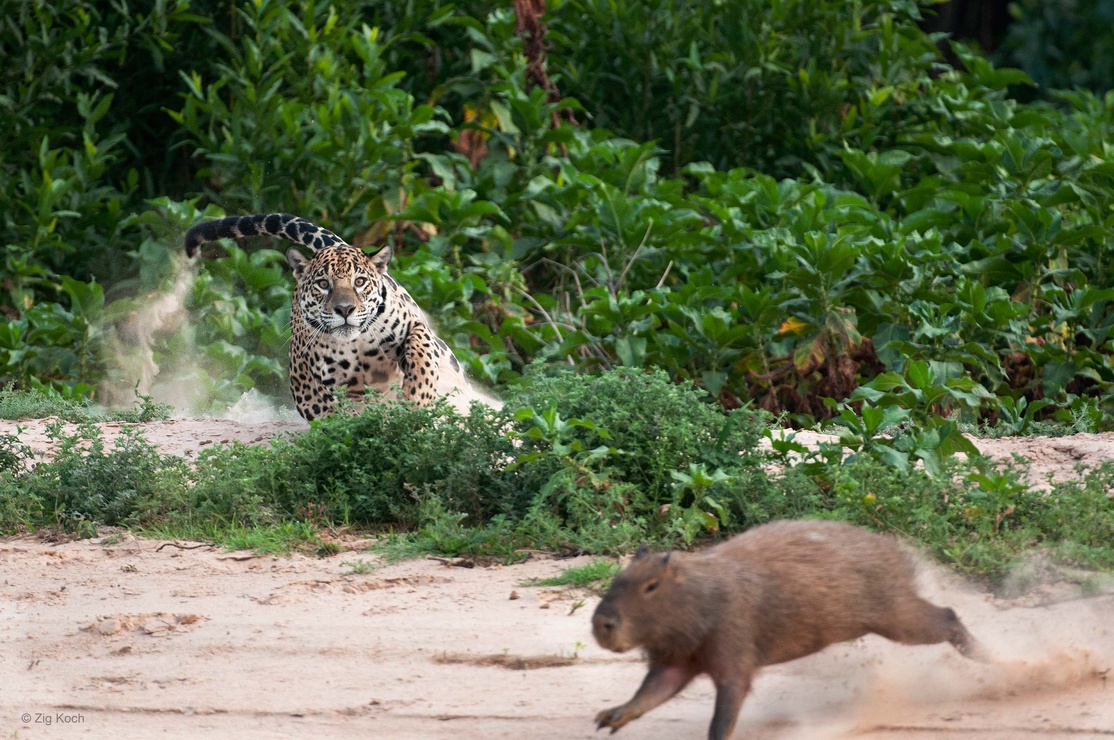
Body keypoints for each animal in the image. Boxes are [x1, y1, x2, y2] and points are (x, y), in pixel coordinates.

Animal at [185, 213, 490, 420]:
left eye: (359, 282)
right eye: (323, 284)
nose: (344, 310)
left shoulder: (414, 325)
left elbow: (420, 352)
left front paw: (419, 398)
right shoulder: (312, 380)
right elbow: (333, 411)